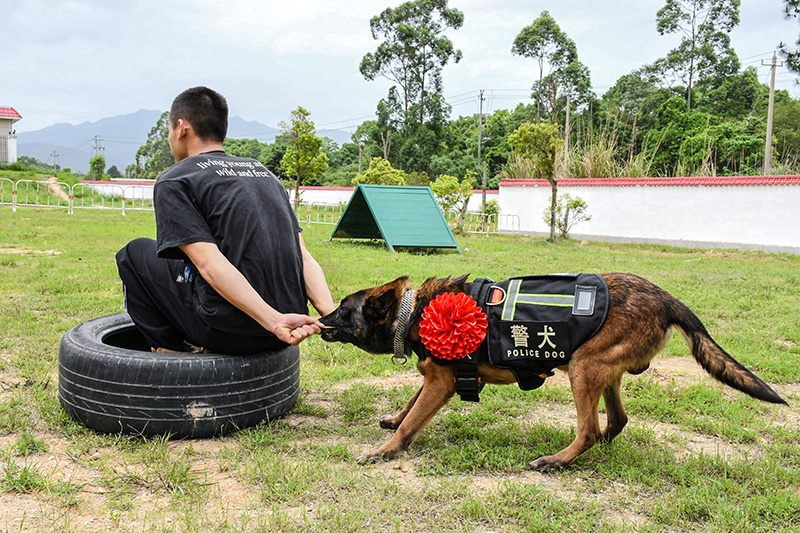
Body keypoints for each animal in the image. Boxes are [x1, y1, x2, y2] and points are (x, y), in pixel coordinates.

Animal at [318, 272, 780, 472]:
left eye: (342, 310)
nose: (319, 318)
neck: (411, 312)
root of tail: (665, 297)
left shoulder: (442, 382)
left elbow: (411, 422)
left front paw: (385, 450)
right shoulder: (435, 378)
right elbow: (410, 406)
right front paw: (393, 420)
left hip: (583, 367)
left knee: (588, 429)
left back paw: (557, 460)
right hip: (600, 370)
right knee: (615, 421)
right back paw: (595, 448)